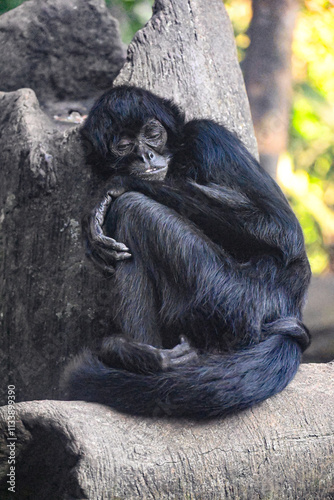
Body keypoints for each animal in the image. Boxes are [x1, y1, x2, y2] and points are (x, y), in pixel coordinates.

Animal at [63, 85, 314, 418]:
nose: (146, 156)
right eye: (124, 145)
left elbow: (284, 232)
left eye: (152, 133)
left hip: (230, 296)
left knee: (132, 208)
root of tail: (289, 306)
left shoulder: (210, 136)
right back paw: (139, 356)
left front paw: (114, 186)